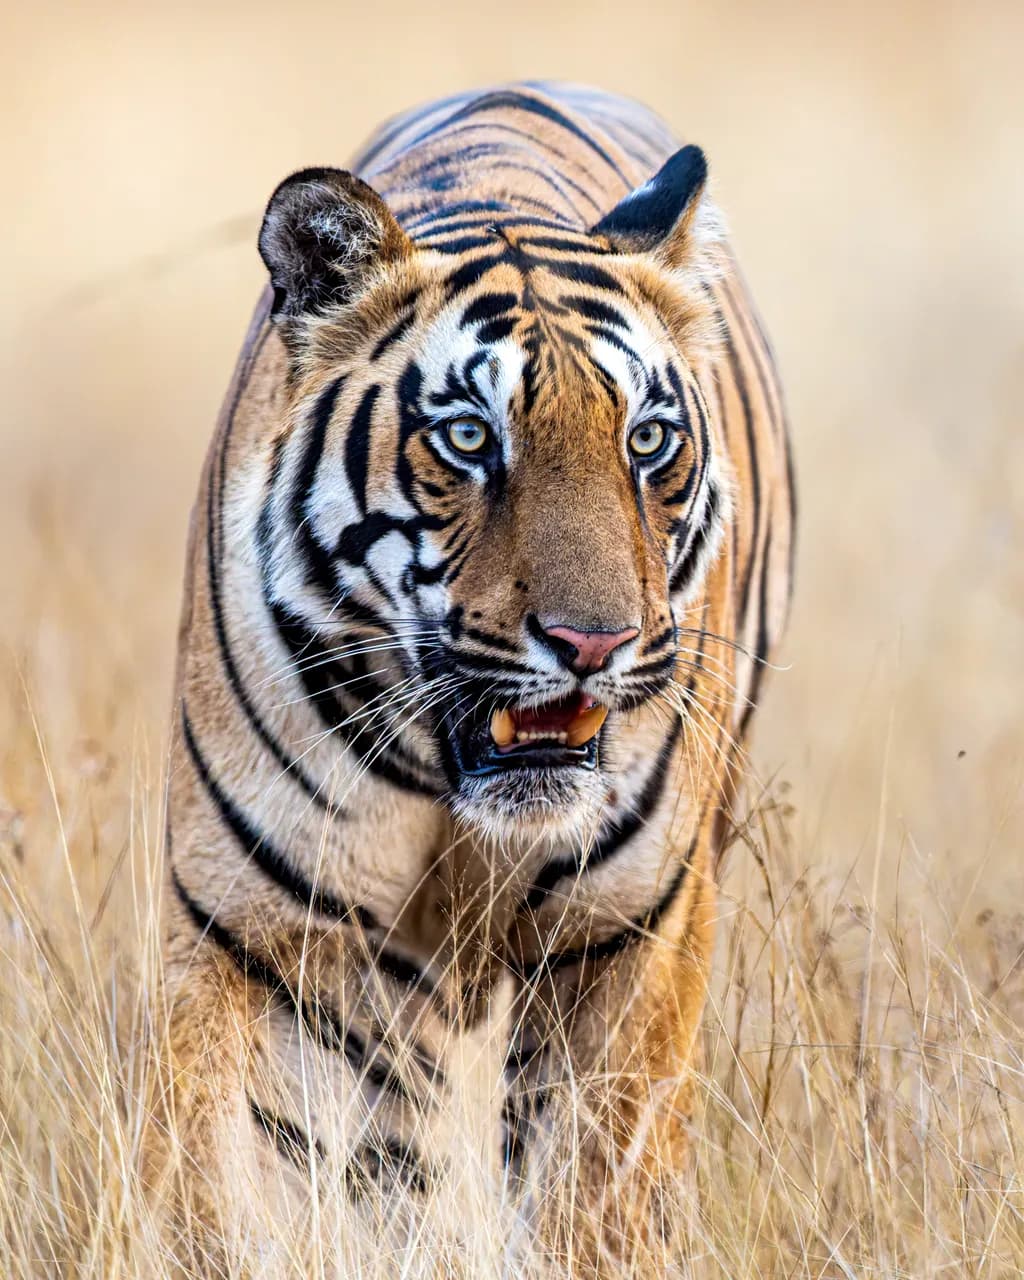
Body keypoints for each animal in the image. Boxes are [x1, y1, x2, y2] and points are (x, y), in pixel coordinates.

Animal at [151, 81, 794, 1275]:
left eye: (647, 441)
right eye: (465, 437)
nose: (592, 641)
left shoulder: (628, 935)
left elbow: (598, 1191)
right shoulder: (265, 935)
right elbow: (236, 1181)